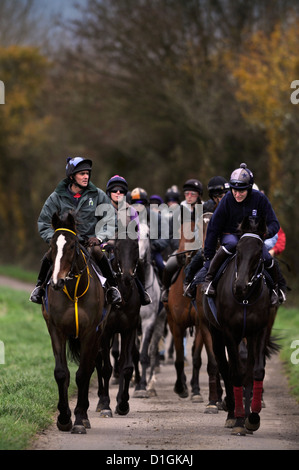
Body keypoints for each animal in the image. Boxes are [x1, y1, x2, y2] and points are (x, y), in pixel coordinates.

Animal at [41, 212, 104, 434]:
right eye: (52, 245)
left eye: (72, 245)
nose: (56, 282)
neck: (74, 290)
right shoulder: (56, 330)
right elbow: (62, 373)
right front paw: (64, 418)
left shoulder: (90, 333)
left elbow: (83, 374)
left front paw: (78, 419)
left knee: (91, 367)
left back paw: (84, 416)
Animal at [95, 231, 142, 414]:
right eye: (117, 247)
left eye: (136, 246)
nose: (128, 276)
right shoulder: (105, 333)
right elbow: (106, 369)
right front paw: (105, 404)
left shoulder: (129, 329)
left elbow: (126, 367)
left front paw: (122, 403)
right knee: (97, 363)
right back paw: (100, 400)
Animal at [164, 214, 223, 412]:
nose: (186, 255)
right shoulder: (175, 325)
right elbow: (179, 358)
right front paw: (181, 388)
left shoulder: (199, 324)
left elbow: (197, 358)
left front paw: (197, 392)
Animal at [203, 215, 280, 436]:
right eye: (238, 249)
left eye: (258, 252)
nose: (239, 286)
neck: (246, 298)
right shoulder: (230, 333)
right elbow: (235, 373)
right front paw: (237, 419)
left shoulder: (259, 331)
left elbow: (255, 372)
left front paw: (251, 418)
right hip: (216, 334)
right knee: (224, 366)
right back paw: (231, 413)